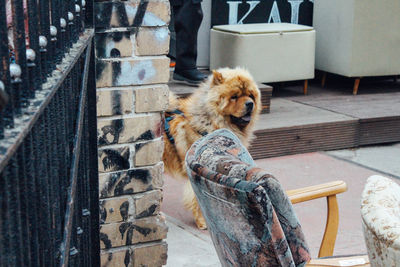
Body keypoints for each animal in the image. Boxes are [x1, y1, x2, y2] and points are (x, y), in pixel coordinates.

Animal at [163, 67, 262, 230]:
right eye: (234, 97)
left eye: (250, 95)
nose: (250, 104)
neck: (211, 121)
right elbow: (197, 198)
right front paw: (203, 222)